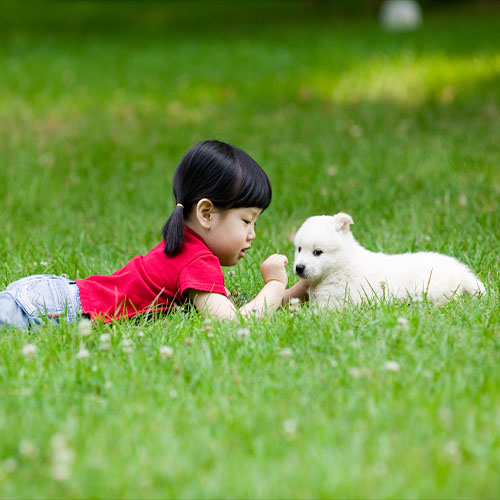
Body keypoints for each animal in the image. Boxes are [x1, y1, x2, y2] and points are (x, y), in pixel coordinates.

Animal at [292, 212, 484, 308]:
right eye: (299, 248)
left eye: (317, 252)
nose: (299, 267)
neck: (342, 265)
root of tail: (460, 270)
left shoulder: (332, 302)